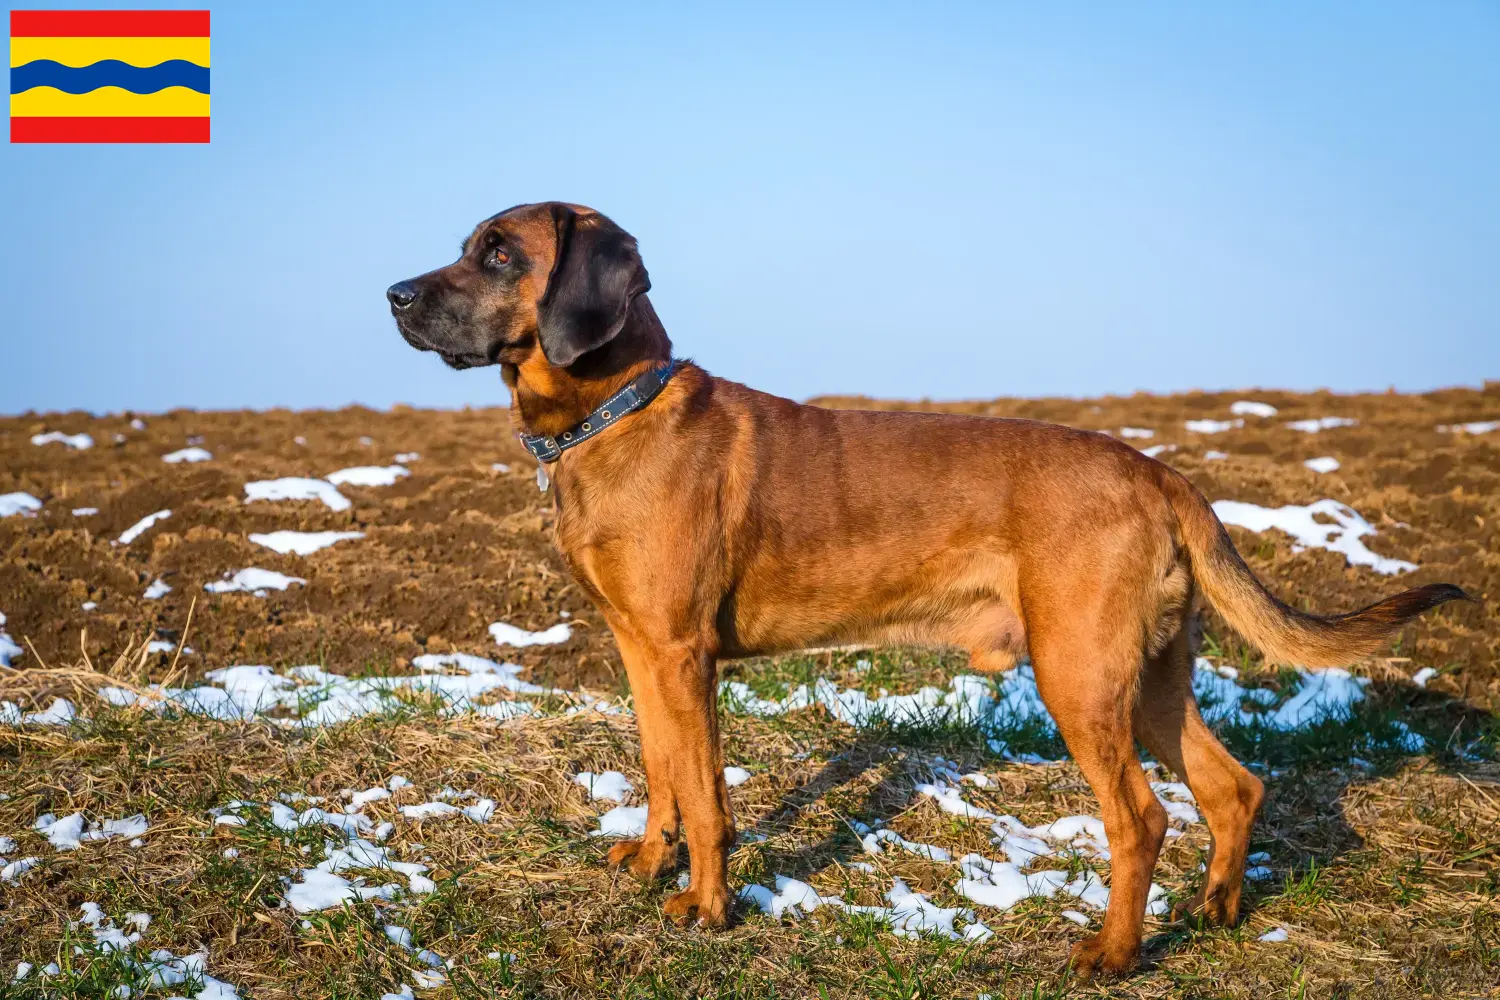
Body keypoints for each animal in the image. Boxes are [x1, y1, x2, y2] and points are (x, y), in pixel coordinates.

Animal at [387, 203, 1464, 977]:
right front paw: (652, 865)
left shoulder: (684, 655)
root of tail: (1161, 474)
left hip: (1077, 673)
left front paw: (706, 906)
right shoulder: (638, 647)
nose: (393, 292)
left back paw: (1114, 953)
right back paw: (1218, 910)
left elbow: (704, 789)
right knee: (1233, 786)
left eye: (498, 253)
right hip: (1148, 676)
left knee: (1143, 818)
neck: (616, 407)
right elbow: (661, 770)